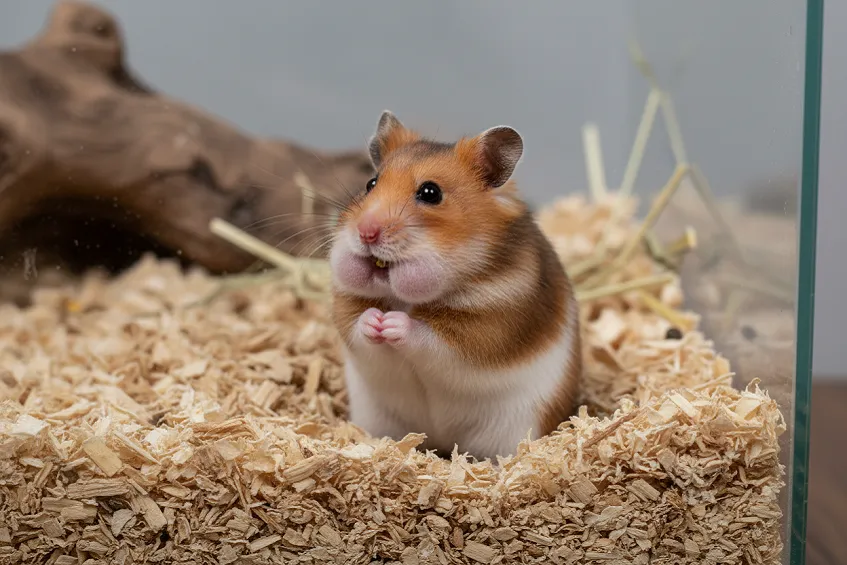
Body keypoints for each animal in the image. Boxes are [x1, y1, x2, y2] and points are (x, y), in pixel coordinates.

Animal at [329, 110, 581, 461]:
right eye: (370, 184)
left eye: (430, 193)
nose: (366, 232)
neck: (405, 297)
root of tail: (443, 442)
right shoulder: (346, 306)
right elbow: (357, 327)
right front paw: (375, 320)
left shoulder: (486, 329)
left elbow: (430, 337)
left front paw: (391, 323)